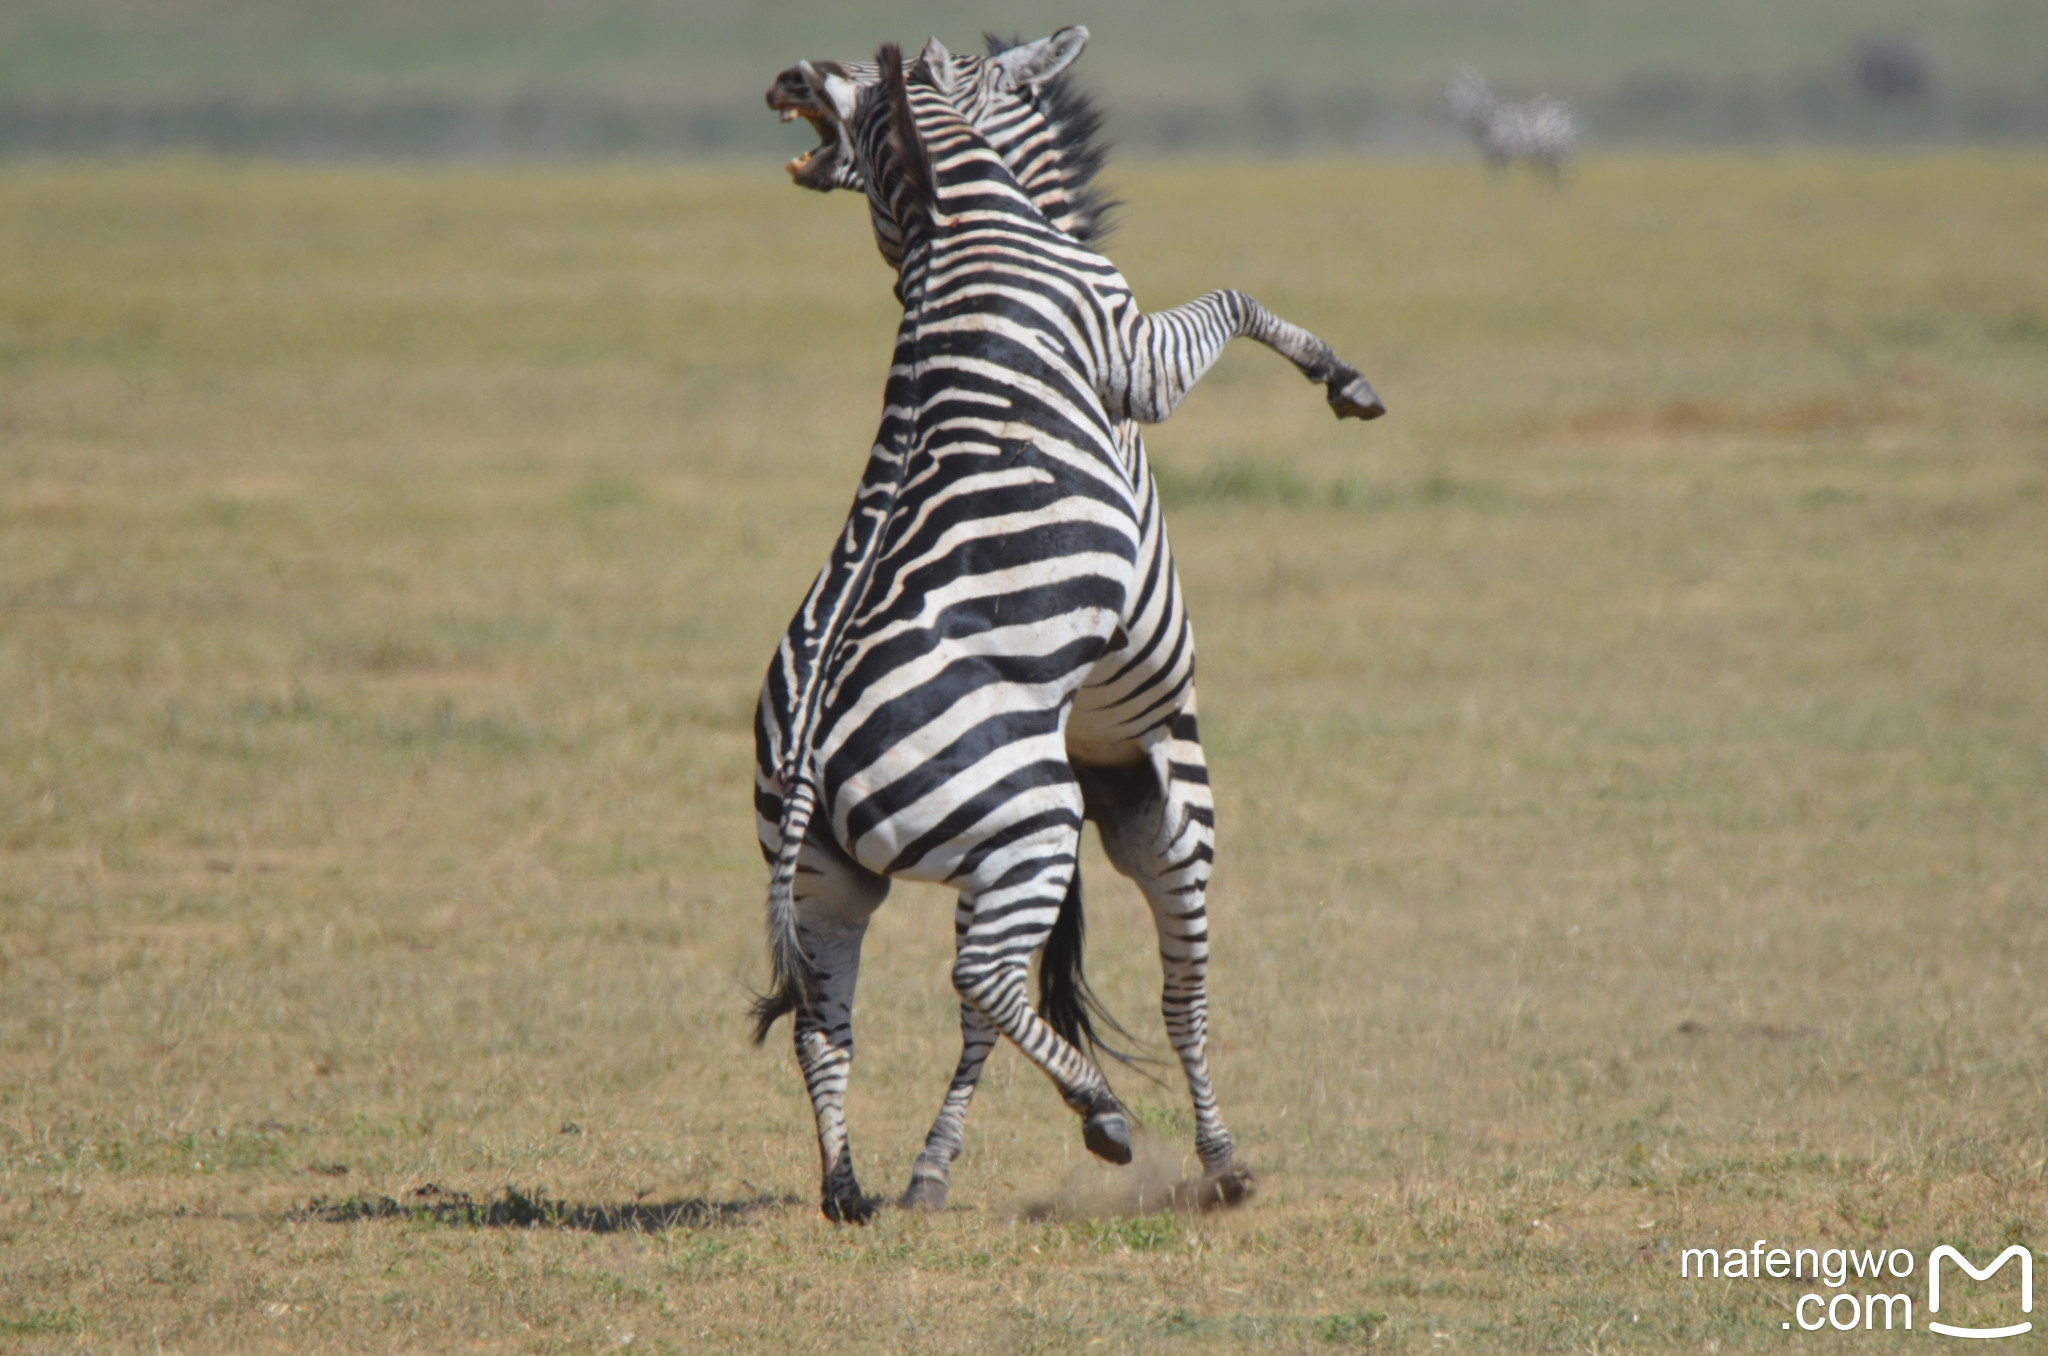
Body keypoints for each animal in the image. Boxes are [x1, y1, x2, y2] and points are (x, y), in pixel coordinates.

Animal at [745, 31, 1384, 1229]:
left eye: (838, 77)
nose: (786, 78)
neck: (966, 219)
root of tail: (807, 745)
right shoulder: (1137, 353)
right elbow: (1236, 297)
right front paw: (1345, 380)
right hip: (1064, 820)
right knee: (1042, 982)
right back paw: (1127, 1125)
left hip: (831, 872)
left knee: (830, 1013)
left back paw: (852, 1184)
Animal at [1441, 65, 1581, 180]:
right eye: (1452, 91)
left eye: (1461, 93)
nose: (1446, 107)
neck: (1489, 121)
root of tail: (1561, 114)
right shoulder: (1491, 156)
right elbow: (1494, 177)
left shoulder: (1504, 153)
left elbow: (1503, 176)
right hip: (1547, 155)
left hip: (1557, 151)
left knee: (1562, 174)